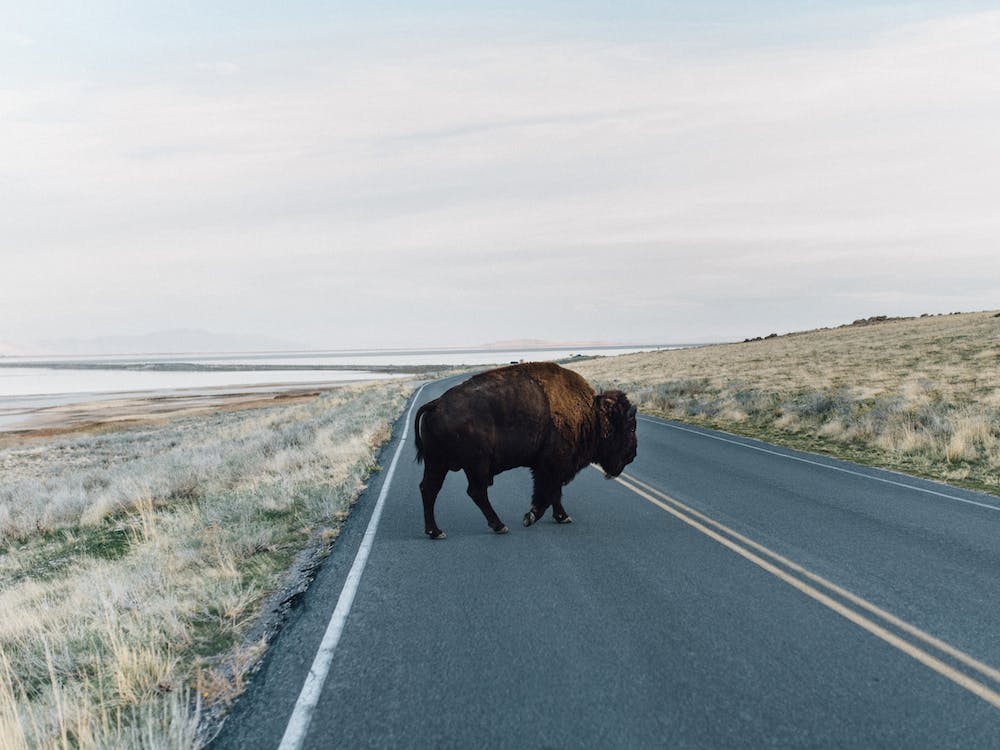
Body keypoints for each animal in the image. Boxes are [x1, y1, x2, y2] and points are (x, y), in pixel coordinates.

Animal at [414, 362, 637, 539]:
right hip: (475, 464)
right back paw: (499, 526)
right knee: (475, 491)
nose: (633, 455)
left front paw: (562, 517)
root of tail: (436, 404)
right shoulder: (551, 466)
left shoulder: (549, 468)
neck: (592, 414)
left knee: (430, 489)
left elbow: (555, 493)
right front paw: (531, 517)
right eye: (630, 427)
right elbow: (548, 493)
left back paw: (435, 531)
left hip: (437, 462)